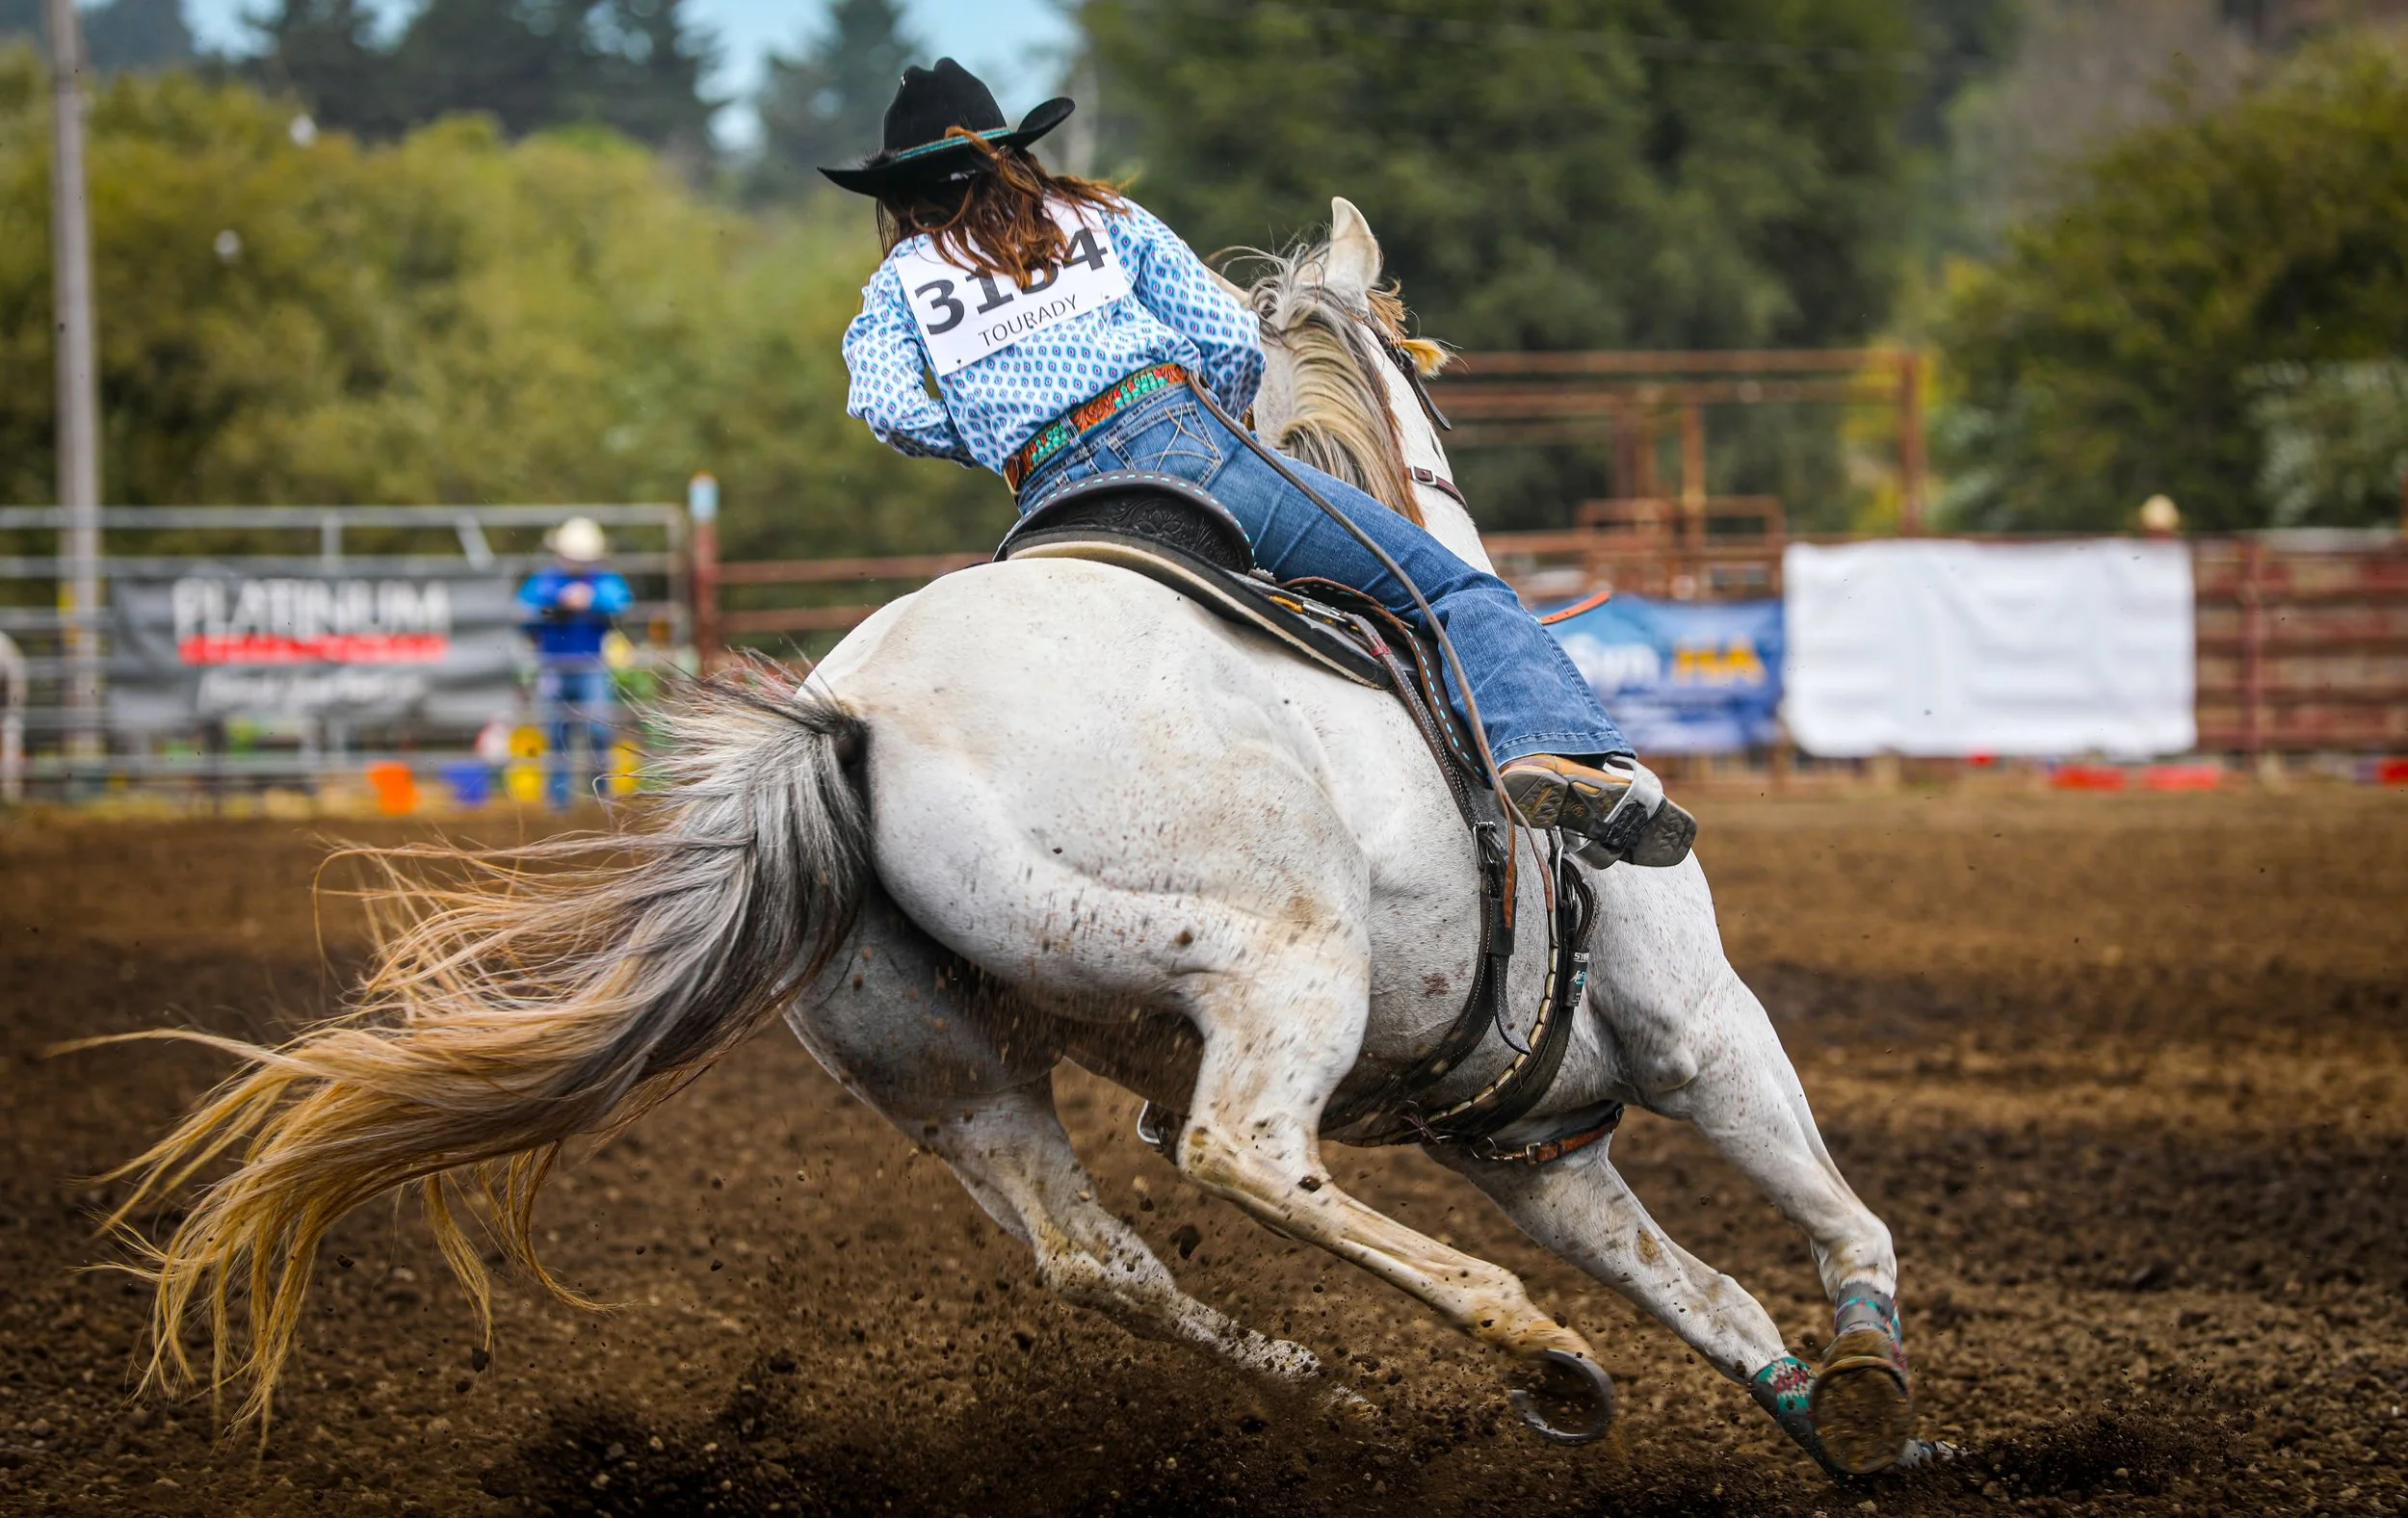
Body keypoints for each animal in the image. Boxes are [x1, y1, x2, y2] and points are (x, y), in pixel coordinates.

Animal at [96, 197, 1922, 1479]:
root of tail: (855, 719)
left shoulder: (1532, 1146)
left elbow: (1715, 1294)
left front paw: (1827, 1410)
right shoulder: (1697, 1032)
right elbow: (1843, 1219)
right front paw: (1880, 1385)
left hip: (941, 1069)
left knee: (1096, 1256)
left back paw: (1357, 1396)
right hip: (1272, 950)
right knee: (1241, 1148)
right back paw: (1515, 1338)